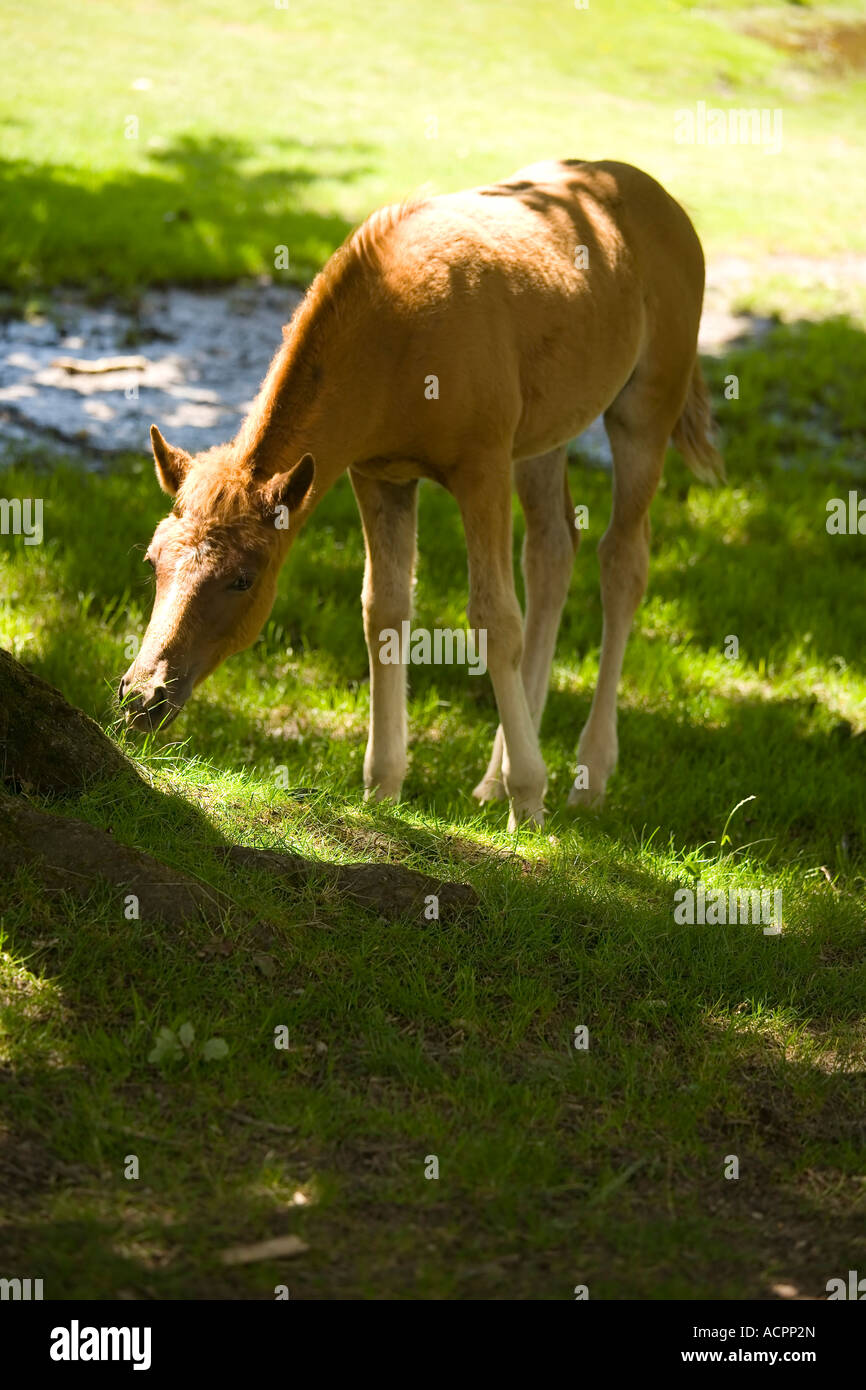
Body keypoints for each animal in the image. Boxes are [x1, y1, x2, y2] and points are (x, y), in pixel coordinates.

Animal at [118, 157, 722, 822]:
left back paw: (587, 776)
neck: (396, 337)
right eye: (153, 562)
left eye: (243, 579)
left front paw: (529, 800)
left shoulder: (482, 466)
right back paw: (496, 773)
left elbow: (493, 618)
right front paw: (383, 786)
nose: (142, 695)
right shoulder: (379, 475)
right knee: (553, 552)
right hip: (544, 438)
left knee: (622, 560)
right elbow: (383, 609)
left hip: (645, 409)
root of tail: (658, 196)